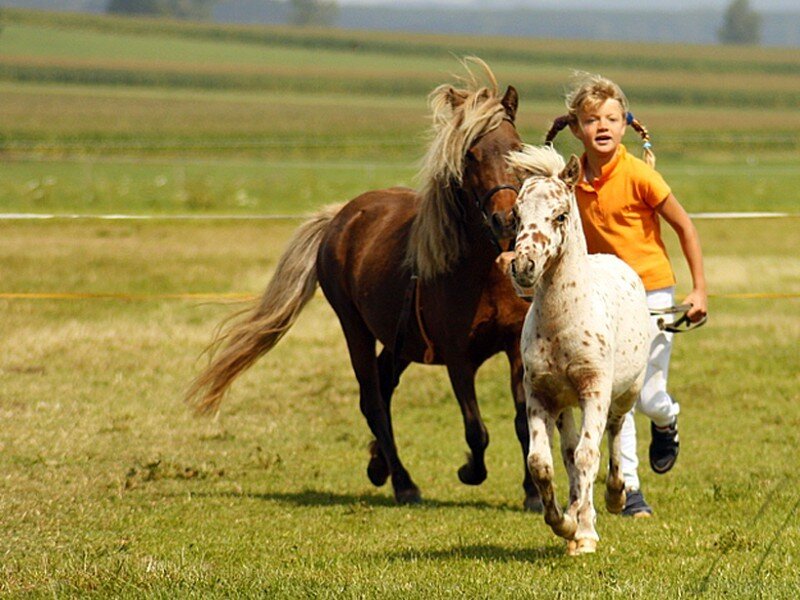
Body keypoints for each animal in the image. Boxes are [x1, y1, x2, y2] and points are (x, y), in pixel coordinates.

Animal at [185, 59, 543, 509]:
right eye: (470, 154)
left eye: (516, 148)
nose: (506, 220)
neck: (483, 273)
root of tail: (341, 217)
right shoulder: (458, 358)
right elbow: (476, 430)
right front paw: (469, 471)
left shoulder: (514, 349)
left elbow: (521, 422)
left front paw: (532, 495)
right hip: (354, 327)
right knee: (372, 399)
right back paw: (403, 483)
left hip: (399, 339)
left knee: (383, 389)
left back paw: (379, 465)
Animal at [505, 145, 651, 554]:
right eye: (515, 216)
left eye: (560, 215)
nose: (524, 266)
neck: (562, 325)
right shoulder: (540, 394)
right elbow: (542, 462)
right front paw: (566, 523)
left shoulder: (594, 390)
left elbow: (589, 454)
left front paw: (580, 528)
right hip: (565, 406)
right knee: (570, 453)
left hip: (625, 391)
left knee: (615, 432)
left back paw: (615, 496)